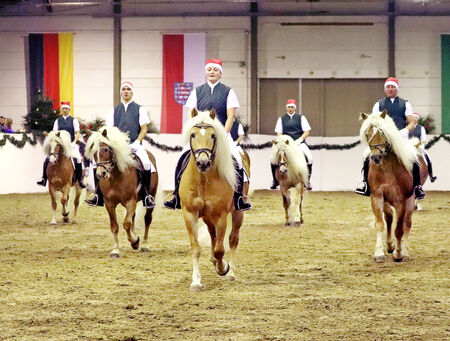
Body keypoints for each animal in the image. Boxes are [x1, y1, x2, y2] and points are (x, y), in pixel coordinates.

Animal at [85, 126, 158, 256]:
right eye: (93, 151)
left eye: (106, 149)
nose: (100, 174)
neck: (115, 177)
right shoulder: (109, 203)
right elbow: (115, 226)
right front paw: (116, 250)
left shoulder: (131, 200)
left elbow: (126, 224)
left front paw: (134, 241)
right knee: (133, 217)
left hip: (150, 197)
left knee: (147, 219)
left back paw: (145, 245)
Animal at [179, 108, 250, 290]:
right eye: (193, 135)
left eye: (213, 135)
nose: (203, 162)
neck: (204, 179)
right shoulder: (189, 214)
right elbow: (196, 248)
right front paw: (196, 281)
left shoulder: (221, 216)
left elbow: (220, 249)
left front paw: (223, 268)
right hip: (206, 216)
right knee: (213, 235)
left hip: (238, 213)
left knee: (232, 239)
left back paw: (231, 273)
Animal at [358, 110, 426, 262]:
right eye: (367, 134)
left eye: (383, 132)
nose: (376, 157)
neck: (387, 168)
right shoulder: (377, 196)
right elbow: (380, 223)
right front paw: (379, 253)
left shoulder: (401, 201)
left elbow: (400, 229)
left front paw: (399, 253)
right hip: (386, 202)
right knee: (388, 218)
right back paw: (389, 246)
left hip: (410, 201)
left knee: (407, 223)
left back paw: (404, 251)